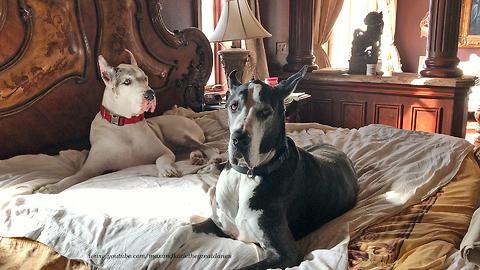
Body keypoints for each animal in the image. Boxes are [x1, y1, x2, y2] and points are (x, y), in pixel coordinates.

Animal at [36, 50, 220, 194]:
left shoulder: (165, 152)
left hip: (176, 134)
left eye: (145, 78)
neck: (125, 125)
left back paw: (210, 158)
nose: (150, 94)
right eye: (127, 82)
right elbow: (73, 177)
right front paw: (53, 187)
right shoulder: (91, 168)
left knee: (208, 147)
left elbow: (161, 159)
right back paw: (196, 157)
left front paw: (167, 169)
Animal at [144, 66, 358, 268]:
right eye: (233, 106)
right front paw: (157, 257)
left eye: (265, 112)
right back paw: (206, 167)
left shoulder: (286, 253)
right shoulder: (220, 225)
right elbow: (181, 230)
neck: (245, 175)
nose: (239, 139)